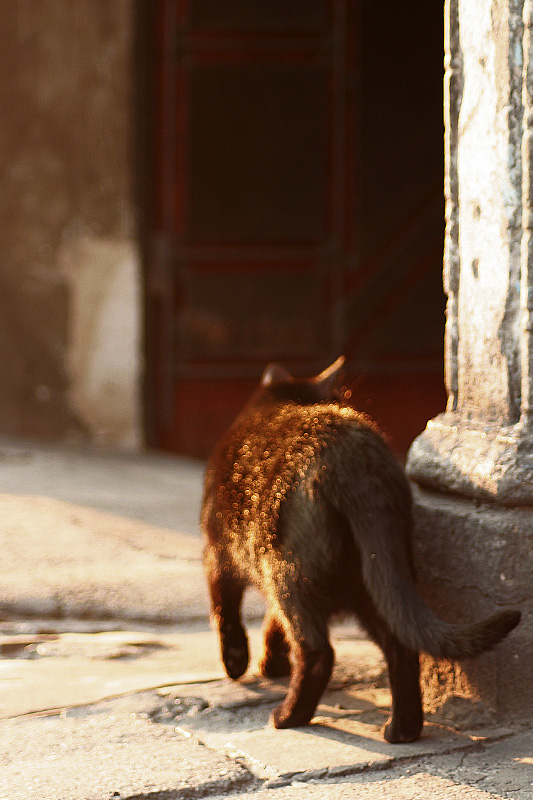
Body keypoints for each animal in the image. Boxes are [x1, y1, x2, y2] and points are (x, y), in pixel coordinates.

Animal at [201, 358, 520, 744]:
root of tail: (353, 458)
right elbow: (272, 622)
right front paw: (271, 663)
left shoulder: (217, 552)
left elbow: (226, 610)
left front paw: (237, 662)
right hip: (376, 579)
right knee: (401, 646)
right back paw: (402, 731)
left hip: (288, 575)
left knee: (317, 652)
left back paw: (288, 716)